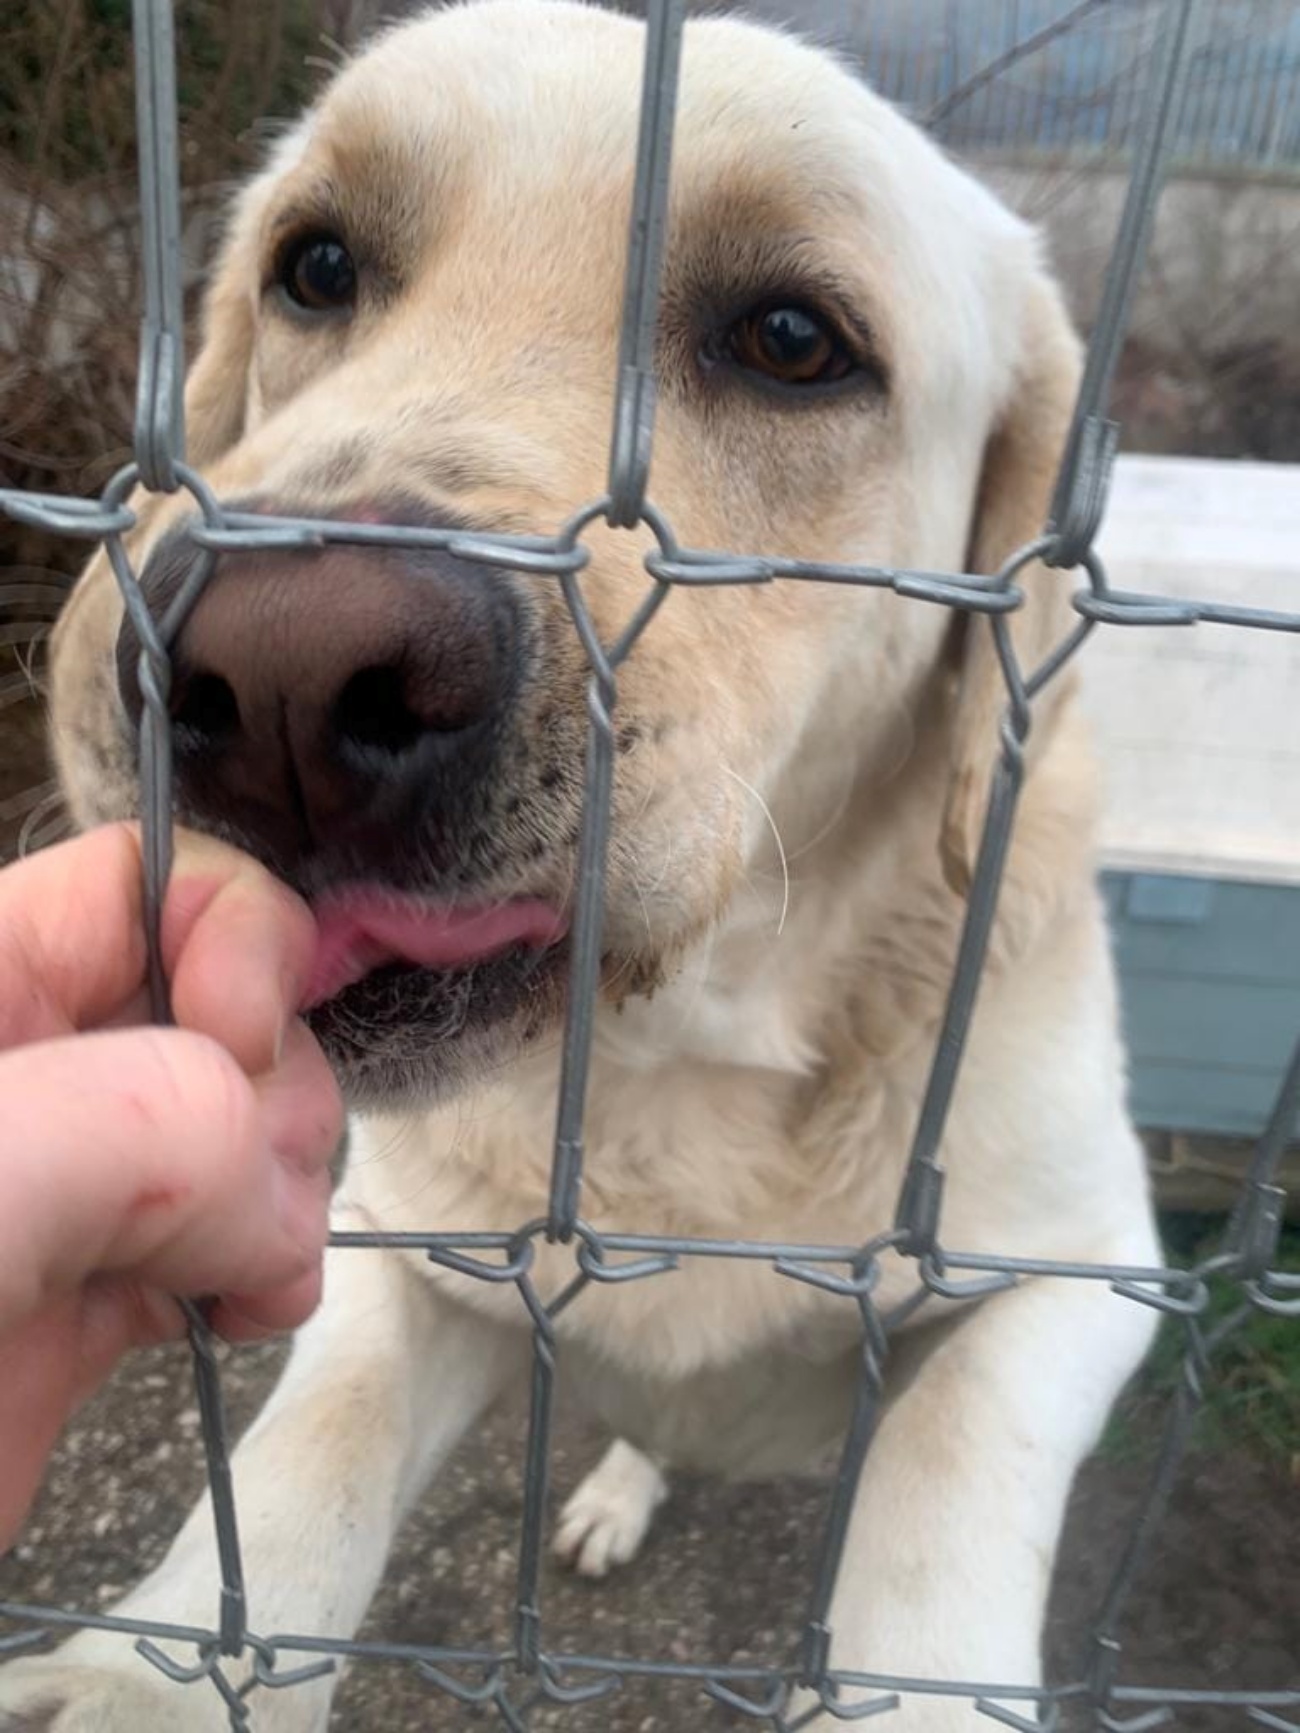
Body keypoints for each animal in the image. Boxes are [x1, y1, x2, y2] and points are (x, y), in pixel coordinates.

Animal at [0, 6, 1157, 1726]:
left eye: (794, 340)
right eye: (318, 265)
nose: (277, 685)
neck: (678, 1059)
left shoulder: (1089, 1270)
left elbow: (953, 1471)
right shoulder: (405, 1254)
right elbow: (311, 1449)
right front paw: (165, 1682)